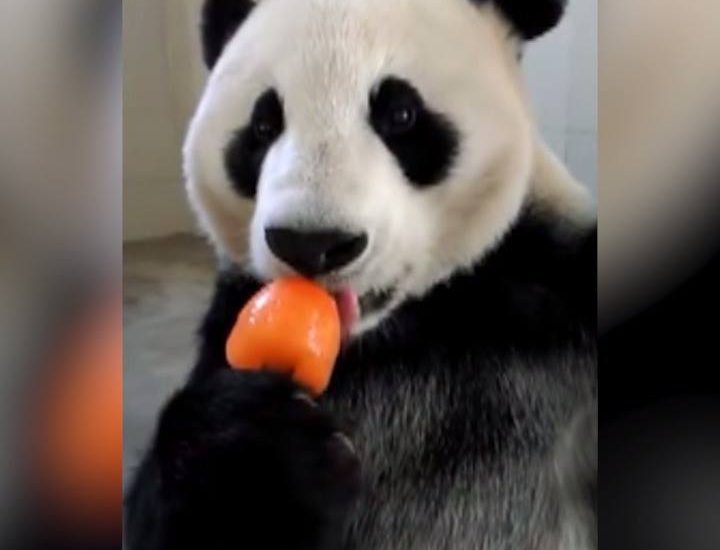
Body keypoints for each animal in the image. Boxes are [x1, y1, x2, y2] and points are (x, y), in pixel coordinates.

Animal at [126, 0, 597, 549]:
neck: (397, 329)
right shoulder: (232, 320)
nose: (311, 244)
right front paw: (253, 451)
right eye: (263, 125)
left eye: (400, 114)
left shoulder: (547, 288)